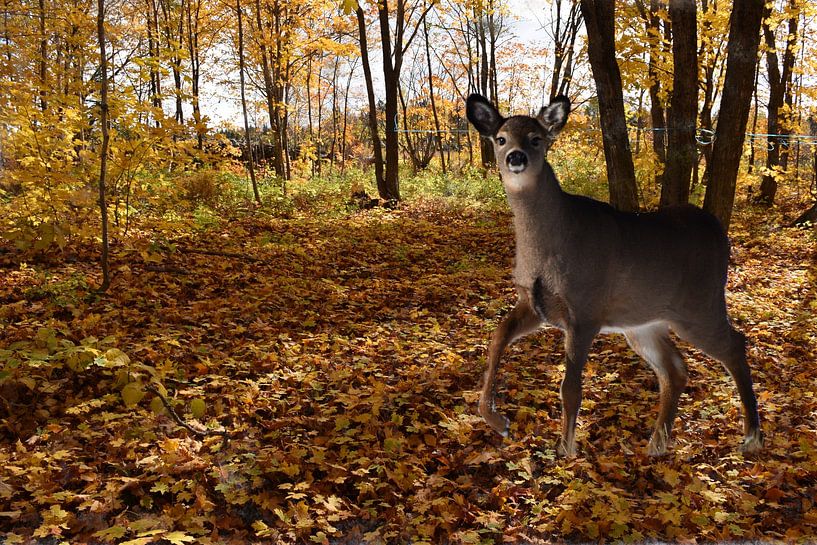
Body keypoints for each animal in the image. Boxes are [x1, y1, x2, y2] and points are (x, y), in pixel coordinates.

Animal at [465, 93, 763, 457]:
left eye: (536, 139)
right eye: (500, 138)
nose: (516, 157)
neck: (550, 243)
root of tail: (720, 231)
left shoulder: (585, 308)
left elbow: (570, 386)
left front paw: (566, 450)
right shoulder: (535, 304)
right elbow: (496, 339)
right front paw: (497, 420)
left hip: (700, 306)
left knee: (735, 344)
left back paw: (752, 437)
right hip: (643, 323)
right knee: (676, 369)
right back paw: (656, 444)